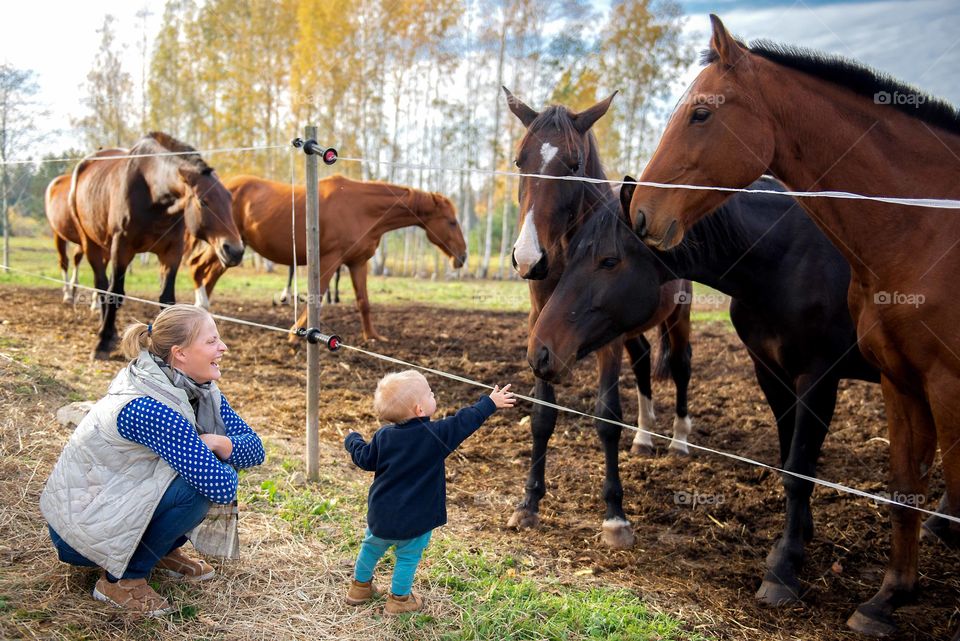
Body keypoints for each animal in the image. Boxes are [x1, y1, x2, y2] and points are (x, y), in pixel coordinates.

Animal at [70, 132, 246, 358]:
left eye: (230, 199)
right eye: (203, 201)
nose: (235, 250)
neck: (151, 194)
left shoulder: (171, 252)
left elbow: (167, 299)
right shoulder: (122, 248)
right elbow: (115, 293)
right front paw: (102, 342)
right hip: (90, 243)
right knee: (102, 286)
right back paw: (105, 333)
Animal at [186, 172, 466, 342]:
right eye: (451, 222)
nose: (462, 257)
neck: (362, 208)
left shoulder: (357, 263)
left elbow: (363, 302)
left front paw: (372, 336)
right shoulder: (330, 260)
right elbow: (318, 296)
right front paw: (294, 335)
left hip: (229, 252)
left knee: (207, 277)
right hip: (224, 246)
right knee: (198, 269)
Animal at [502, 87, 696, 548]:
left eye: (573, 165)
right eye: (520, 160)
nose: (529, 258)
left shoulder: (605, 338)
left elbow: (607, 417)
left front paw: (615, 517)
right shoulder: (543, 327)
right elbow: (542, 415)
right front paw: (529, 503)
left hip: (677, 317)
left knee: (681, 366)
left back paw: (678, 441)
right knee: (642, 360)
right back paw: (644, 437)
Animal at [528, 178, 880, 608]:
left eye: (609, 261)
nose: (539, 350)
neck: (787, 256)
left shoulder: (818, 378)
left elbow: (799, 470)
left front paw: (783, 569)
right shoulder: (771, 372)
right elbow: (790, 459)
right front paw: (798, 536)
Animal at [628, 15, 960, 636]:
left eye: (701, 113)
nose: (642, 213)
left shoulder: (837, 377)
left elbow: (804, 468)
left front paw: (785, 570)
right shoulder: (862, 379)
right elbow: (869, 480)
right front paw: (881, 597)